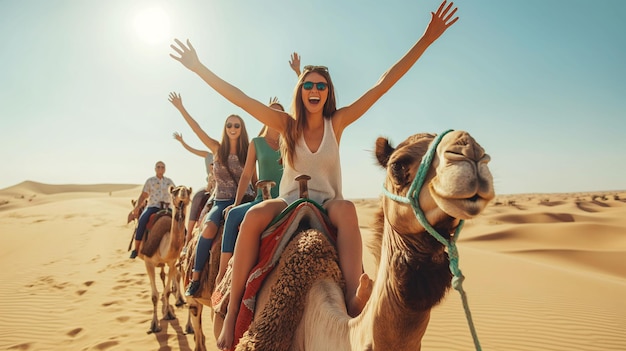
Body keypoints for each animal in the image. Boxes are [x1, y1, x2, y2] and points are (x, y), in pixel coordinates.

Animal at [137, 186, 191, 334]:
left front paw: (168, 314)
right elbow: (154, 296)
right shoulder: (148, 263)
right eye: (175, 191)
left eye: (188, 191)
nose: (183, 192)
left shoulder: (172, 262)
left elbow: (167, 291)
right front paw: (154, 324)